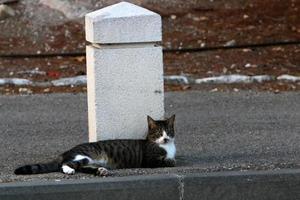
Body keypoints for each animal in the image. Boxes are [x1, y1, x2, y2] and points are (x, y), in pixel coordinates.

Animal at [14, 115, 176, 176]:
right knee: (65, 164)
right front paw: (170, 161)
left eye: (168, 131)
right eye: (158, 133)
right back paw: (69, 170)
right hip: (83, 155)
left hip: (88, 160)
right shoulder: (150, 160)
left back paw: (100, 171)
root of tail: (67, 151)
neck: (166, 147)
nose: (165, 138)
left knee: (82, 167)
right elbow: (168, 161)